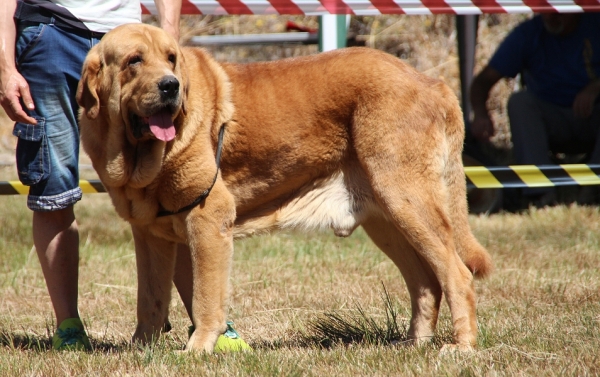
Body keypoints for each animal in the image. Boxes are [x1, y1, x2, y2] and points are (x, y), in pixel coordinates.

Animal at [77, 23, 492, 352]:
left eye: (171, 58)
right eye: (134, 61)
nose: (171, 86)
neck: (139, 157)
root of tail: (433, 82)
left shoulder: (207, 219)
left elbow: (205, 298)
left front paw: (198, 349)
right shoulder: (150, 234)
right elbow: (150, 299)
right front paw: (140, 350)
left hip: (408, 201)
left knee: (457, 275)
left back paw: (461, 347)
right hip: (387, 220)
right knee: (425, 282)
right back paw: (412, 344)